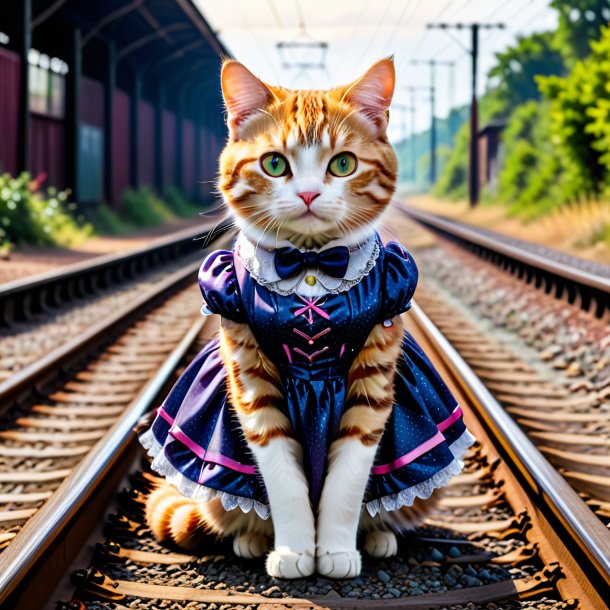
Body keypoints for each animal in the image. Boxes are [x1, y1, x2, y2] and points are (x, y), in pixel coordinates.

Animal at [140, 58, 472, 580]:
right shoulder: (250, 374)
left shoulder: (374, 372)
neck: (311, 266)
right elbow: (282, 474)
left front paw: (334, 550)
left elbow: (348, 477)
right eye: (275, 164)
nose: (311, 194)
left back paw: (378, 537)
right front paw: (295, 549)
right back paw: (252, 540)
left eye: (343, 164)